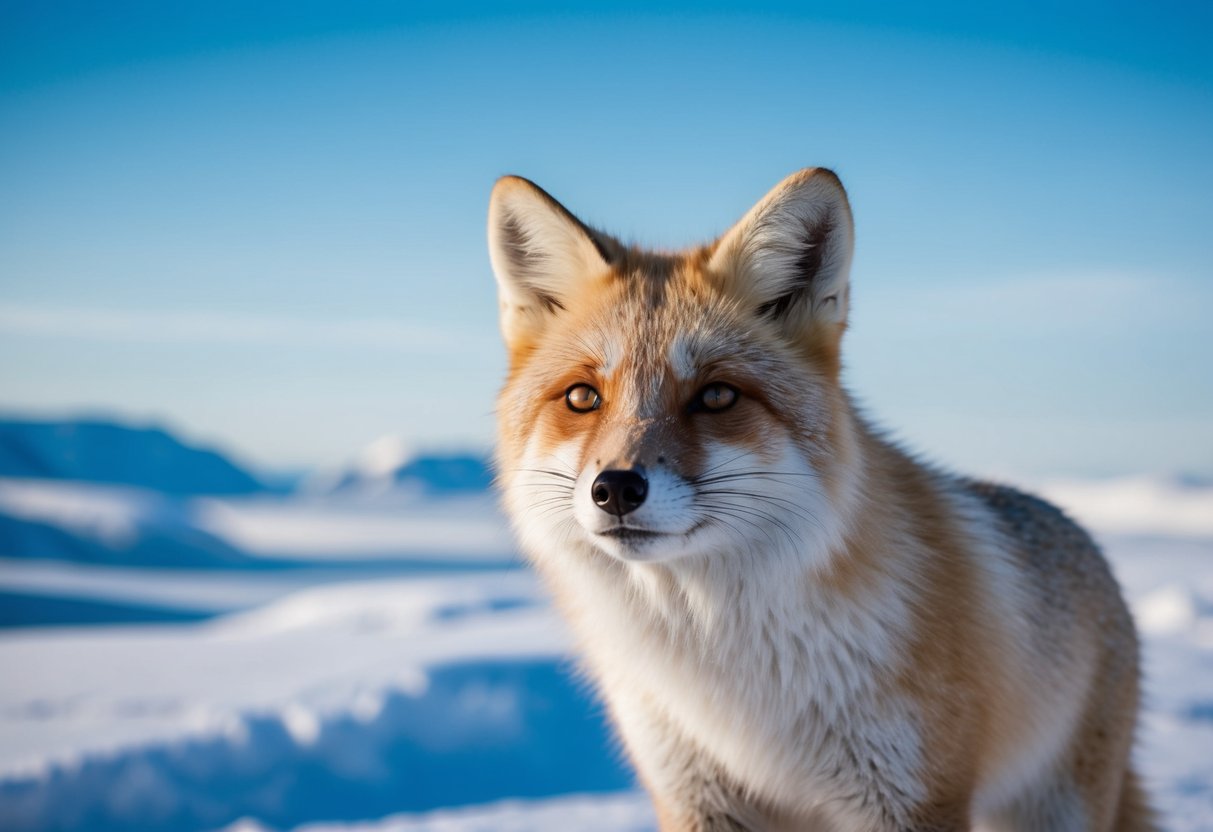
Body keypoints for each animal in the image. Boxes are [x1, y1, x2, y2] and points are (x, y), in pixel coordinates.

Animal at [487, 168, 1154, 831]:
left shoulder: (912, 798)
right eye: (582, 397)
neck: (723, 662)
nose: (616, 489)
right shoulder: (696, 795)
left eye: (716, 396)